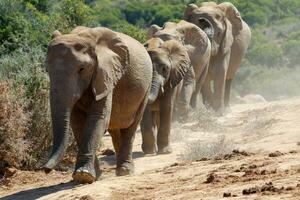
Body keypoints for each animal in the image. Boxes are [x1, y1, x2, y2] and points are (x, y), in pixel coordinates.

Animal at [42, 25, 152, 184]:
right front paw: (92, 176)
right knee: (115, 129)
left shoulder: (105, 75)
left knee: (131, 127)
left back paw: (125, 171)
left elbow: (97, 118)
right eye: (46, 70)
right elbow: (78, 122)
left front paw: (84, 175)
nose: (45, 169)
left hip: (146, 88)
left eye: (82, 69)